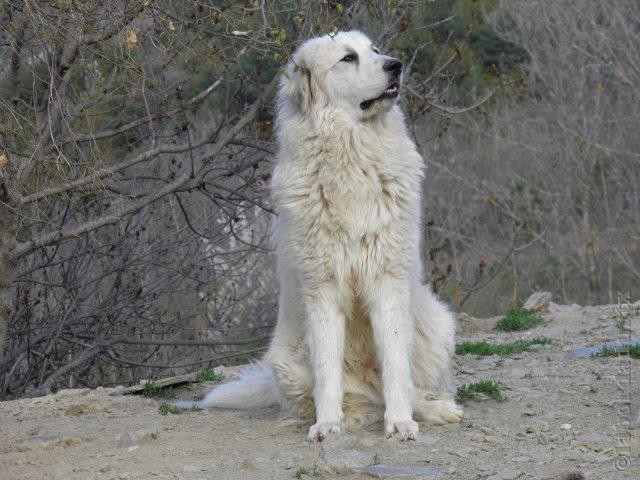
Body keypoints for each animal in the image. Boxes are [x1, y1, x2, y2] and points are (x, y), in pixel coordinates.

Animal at [180, 31, 460, 442]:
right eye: (348, 58)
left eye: (375, 51)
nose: (396, 65)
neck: (352, 158)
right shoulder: (323, 288)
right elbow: (327, 371)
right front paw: (327, 424)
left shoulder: (387, 280)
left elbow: (395, 364)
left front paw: (400, 422)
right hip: (284, 361)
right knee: (352, 400)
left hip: (437, 325)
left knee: (411, 389)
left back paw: (433, 409)